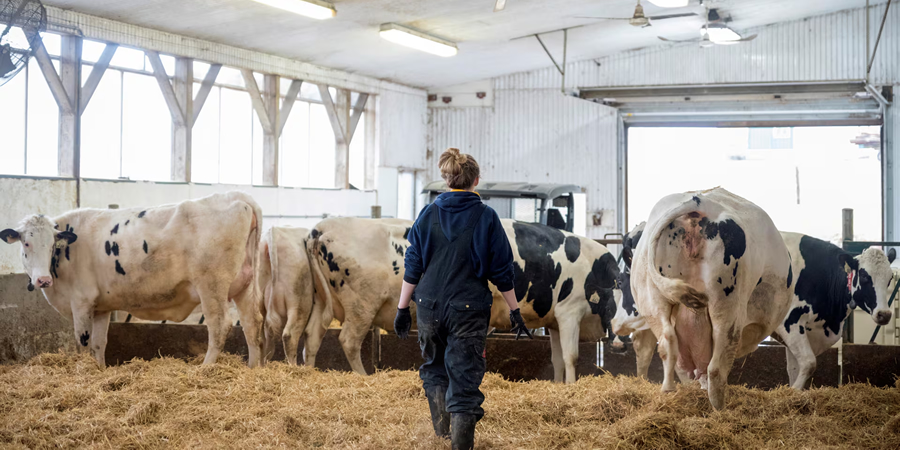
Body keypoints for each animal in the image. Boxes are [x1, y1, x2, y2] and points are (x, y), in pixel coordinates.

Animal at [0, 192, 264, 368]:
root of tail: (234, 195)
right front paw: (100, 370)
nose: (43, 280)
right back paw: (253, 368)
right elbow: (99, 344)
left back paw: (205, 368)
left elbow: (83, 343)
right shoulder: (100, 308)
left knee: (219, 326)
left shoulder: (81, 302)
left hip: (212, 286)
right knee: (252, 324)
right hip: (245, 286)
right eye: (26, 243)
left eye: (52, 244)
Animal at [257, 226, 322, 366]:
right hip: (300, 303)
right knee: (289, 336)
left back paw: (261, 366)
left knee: (261, 339)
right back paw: (293, 367)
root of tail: (274, 231)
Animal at [306, 217, 619, 383]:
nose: (621, 344)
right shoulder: (569, 312)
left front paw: (559, 385)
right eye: (618, 301)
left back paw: (306, 371)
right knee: (348, 341)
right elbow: (571, 356)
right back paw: (363, 377)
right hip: (362, 307)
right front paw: (571, 386)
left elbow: (557, 358)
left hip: (323, 304)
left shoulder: (553, 320)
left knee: (312, 336)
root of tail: (324, 226)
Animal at [631, 187, 794, 410]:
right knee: (716, 368)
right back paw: (720, 410)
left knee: (668, 343)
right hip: (727, 308)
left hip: (652, 301)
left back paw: (668, 390)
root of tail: (698, 203)